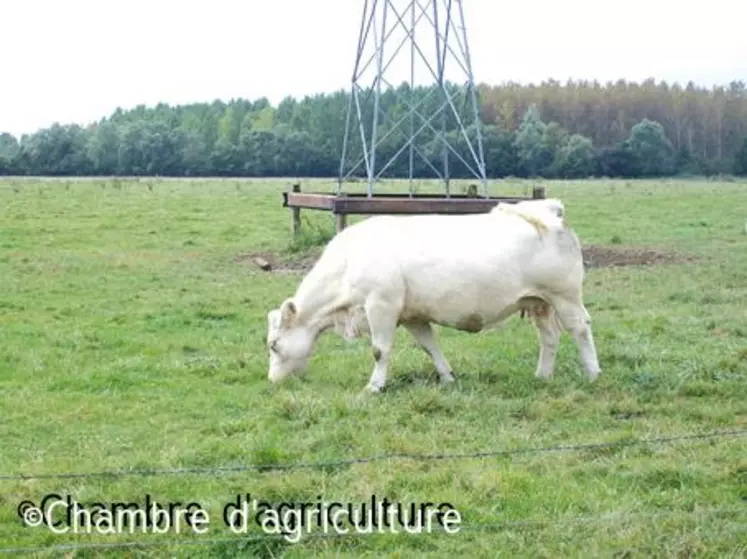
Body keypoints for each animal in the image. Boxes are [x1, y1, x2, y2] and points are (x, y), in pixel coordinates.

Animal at [268, 199, 600, 392]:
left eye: (273, 345)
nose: (271, 381)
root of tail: (545, 210)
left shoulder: (381, 306)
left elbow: (379, 350)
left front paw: (374, 387)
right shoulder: (412, 316)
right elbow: (430, 347)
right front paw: (448, 377)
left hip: (565, 297)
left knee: (580, 330)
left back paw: (593, 373)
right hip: (539, 302)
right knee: (549, 337)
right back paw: (542, 375)